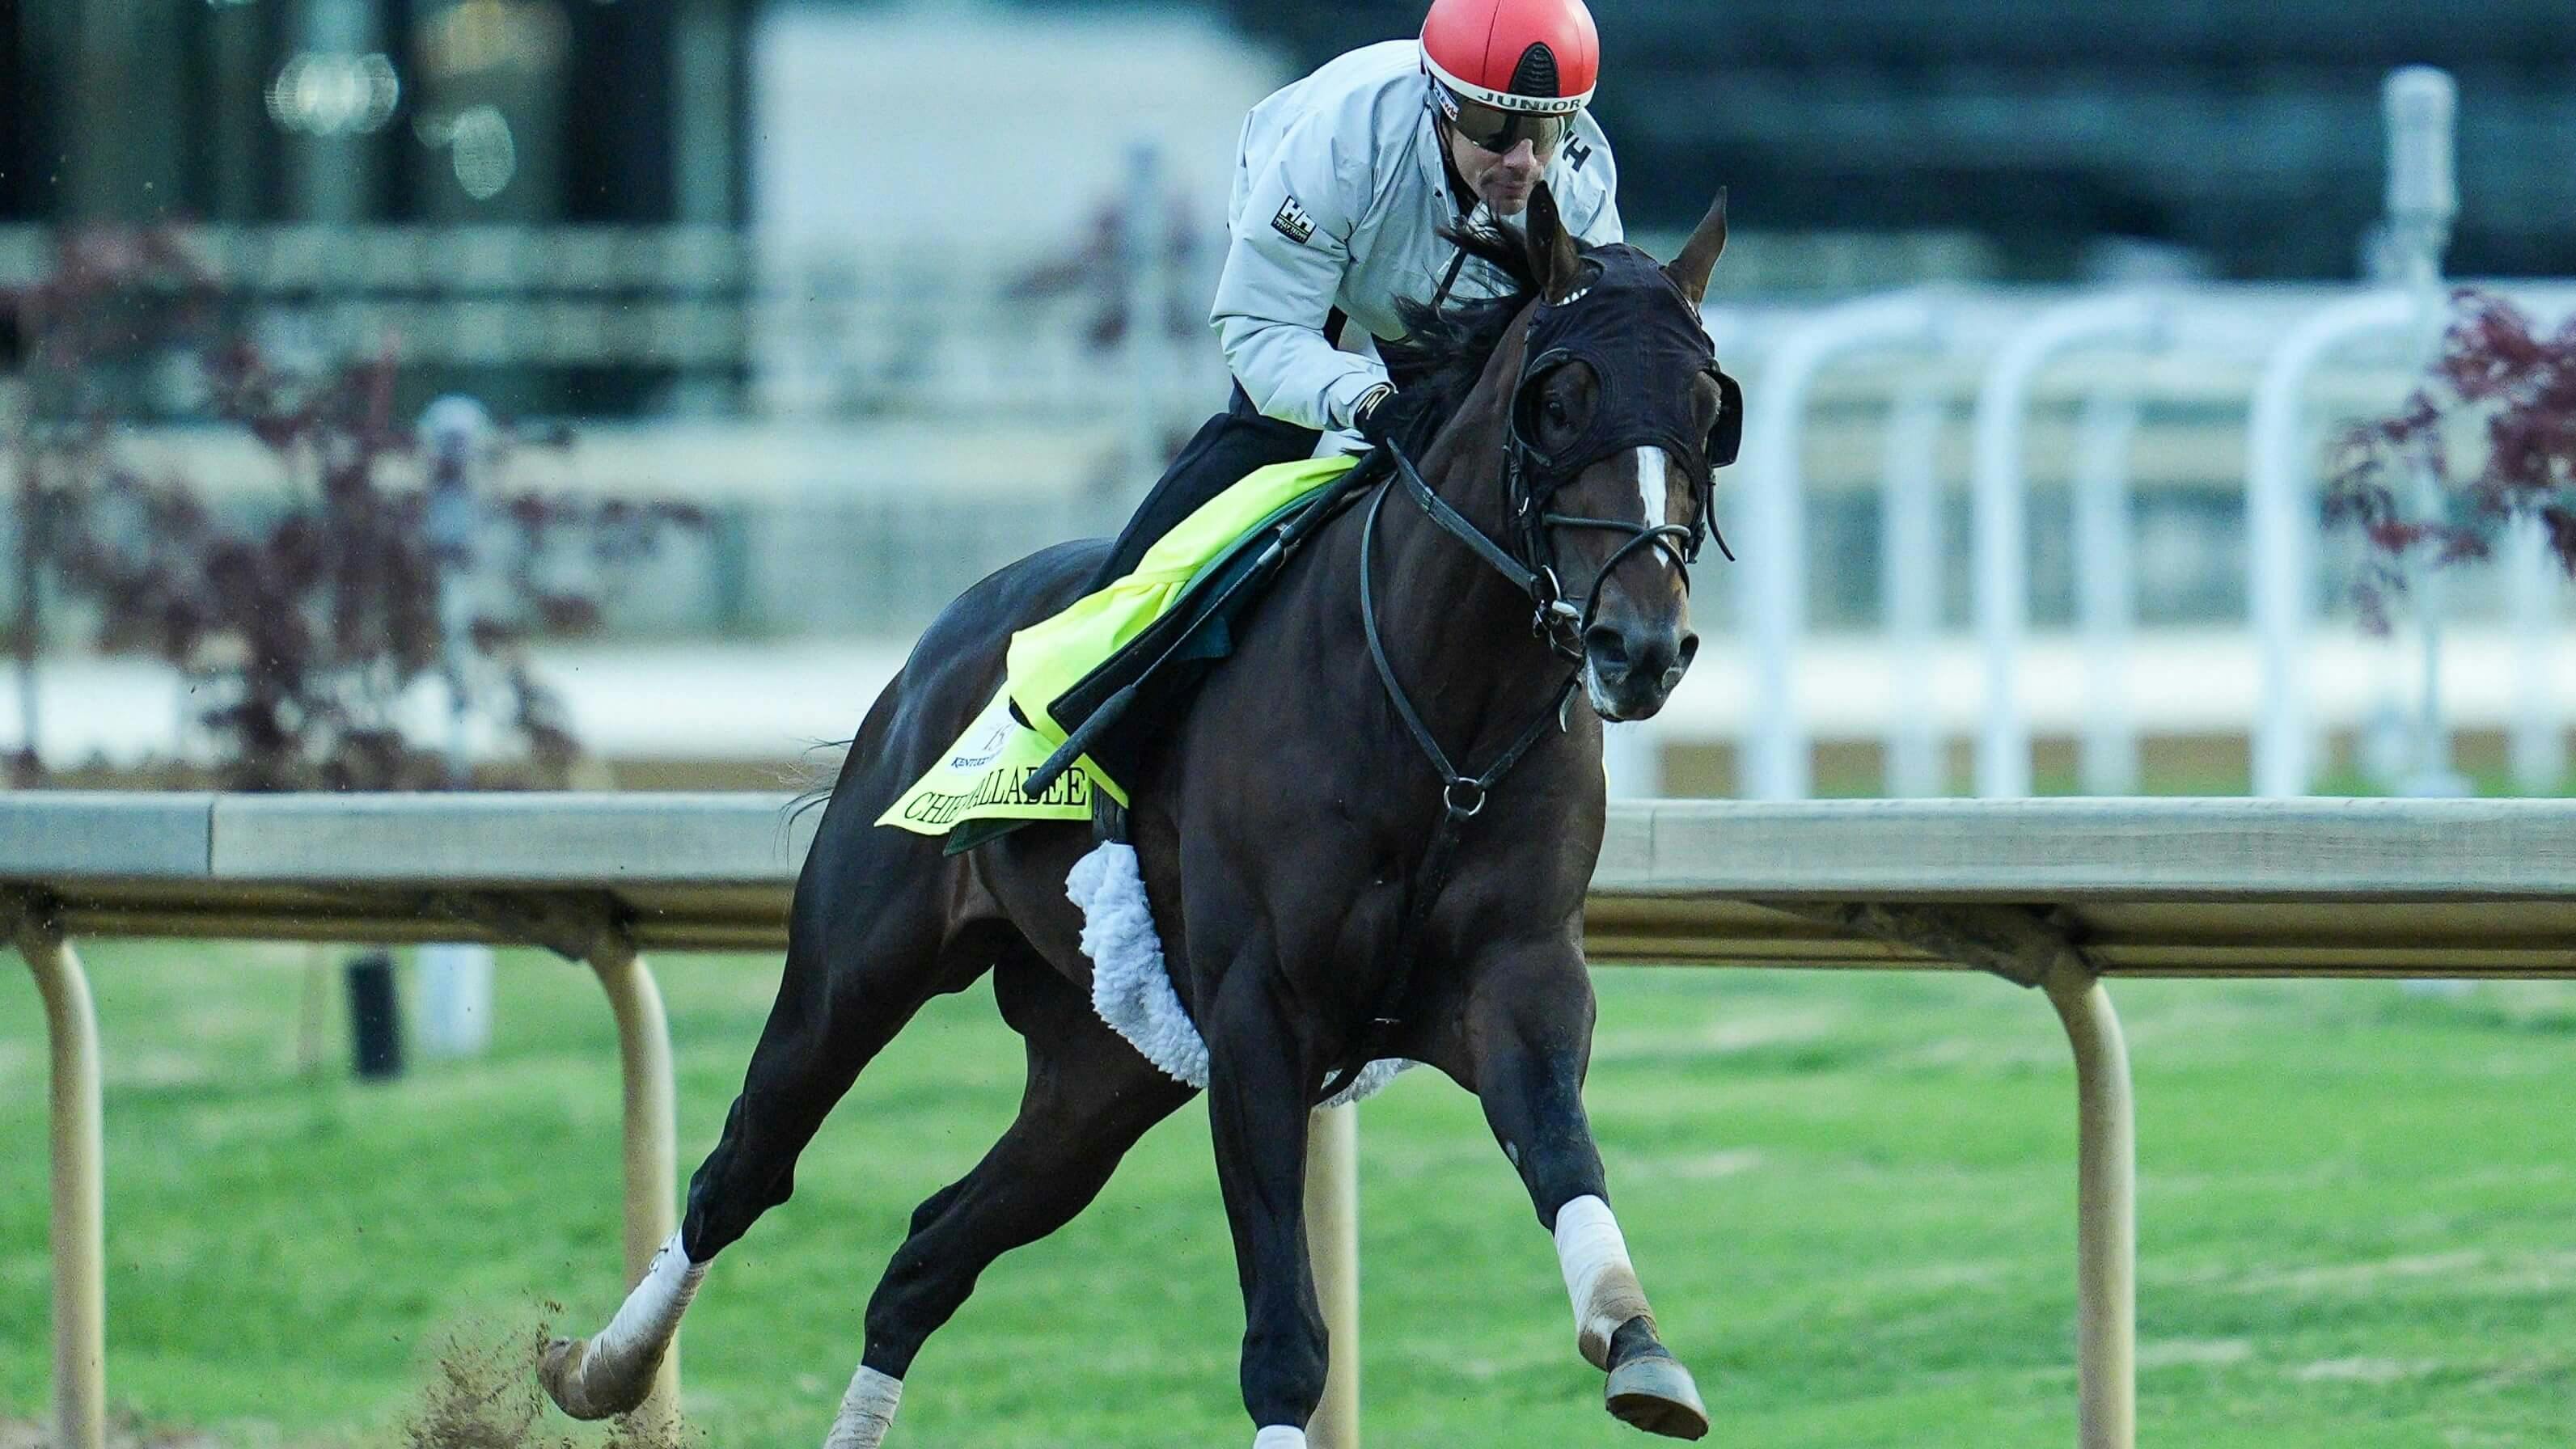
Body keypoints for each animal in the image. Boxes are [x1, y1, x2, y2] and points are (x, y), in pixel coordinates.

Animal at [540, 182, 1739, 1448]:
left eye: (1709, 408)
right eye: (1558, 402)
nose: (1639, 645)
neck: (1443, 727)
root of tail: (932, 650)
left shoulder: (1517, 982)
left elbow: (1565, 1158)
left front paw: (1639, 1345)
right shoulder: (1262, 1017)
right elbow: (1285, 1343)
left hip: (1107, 1068)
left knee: (926, 1254)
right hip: (856, 966)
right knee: (743, 1168)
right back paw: (603, 1371)